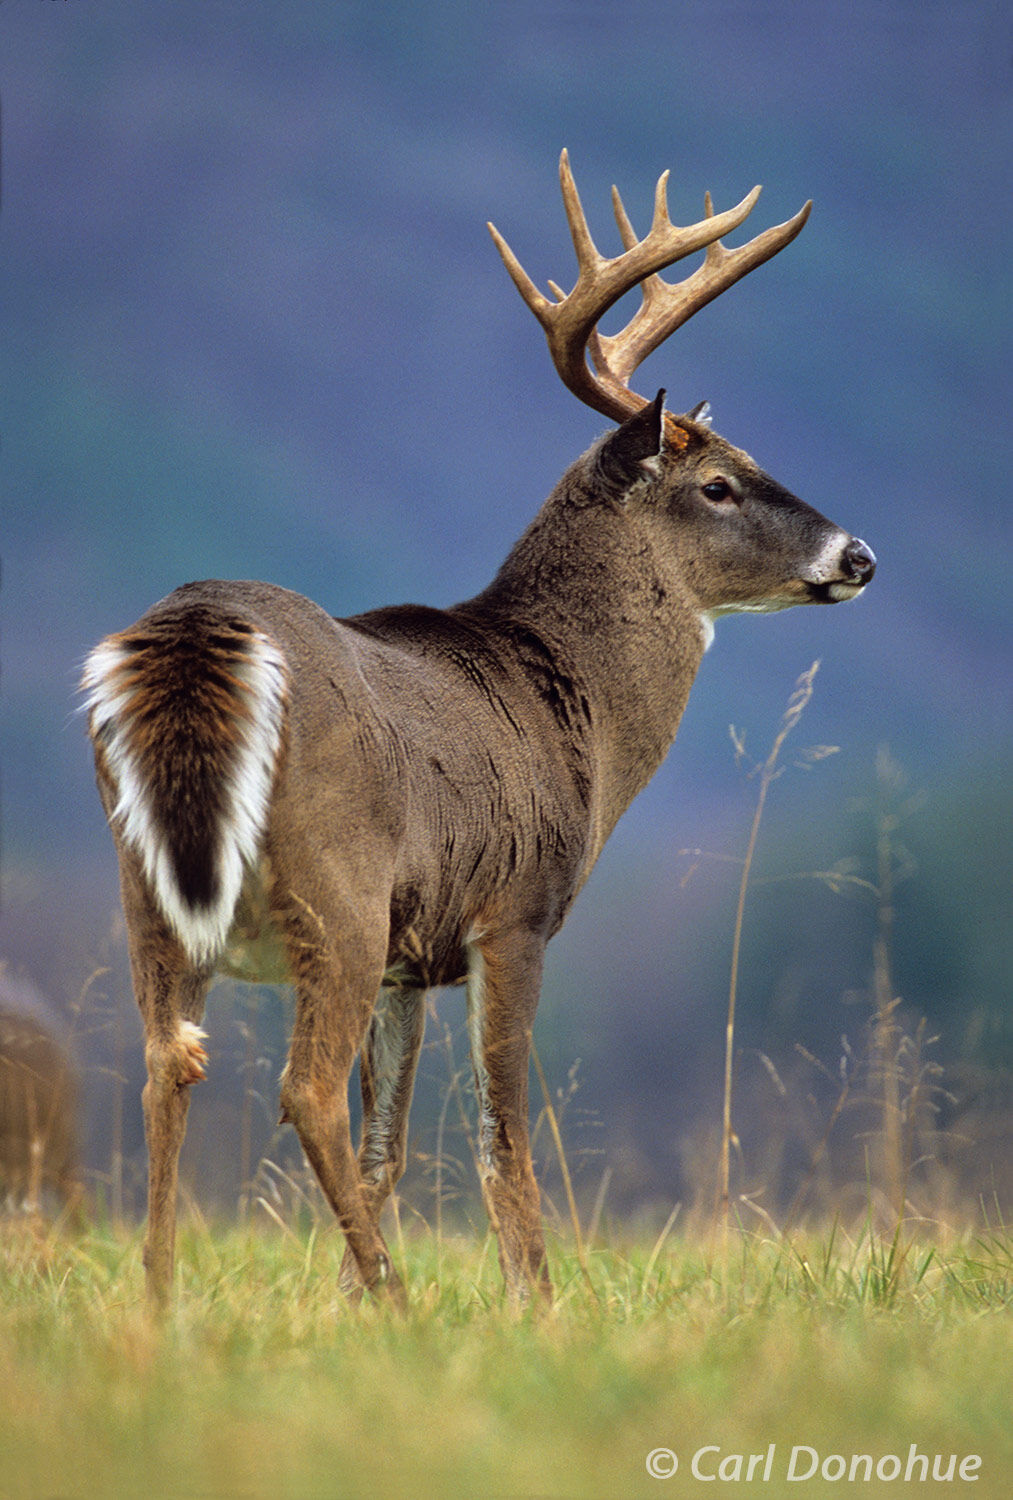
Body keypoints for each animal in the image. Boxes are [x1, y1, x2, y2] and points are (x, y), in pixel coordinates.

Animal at [81, 146, 870, 1308]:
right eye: (719, 483)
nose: (857, 555)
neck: (576, 714)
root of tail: (188, 631)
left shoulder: (413, 960)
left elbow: (391, 1145)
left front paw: (344, 1306)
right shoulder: (514, 911)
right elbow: (502, 1134)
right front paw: (529, 1301)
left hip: (150, 891)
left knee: (166, 1067)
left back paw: (163, 1302)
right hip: (339, 885)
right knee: (300, 1089)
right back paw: (396, 1302)